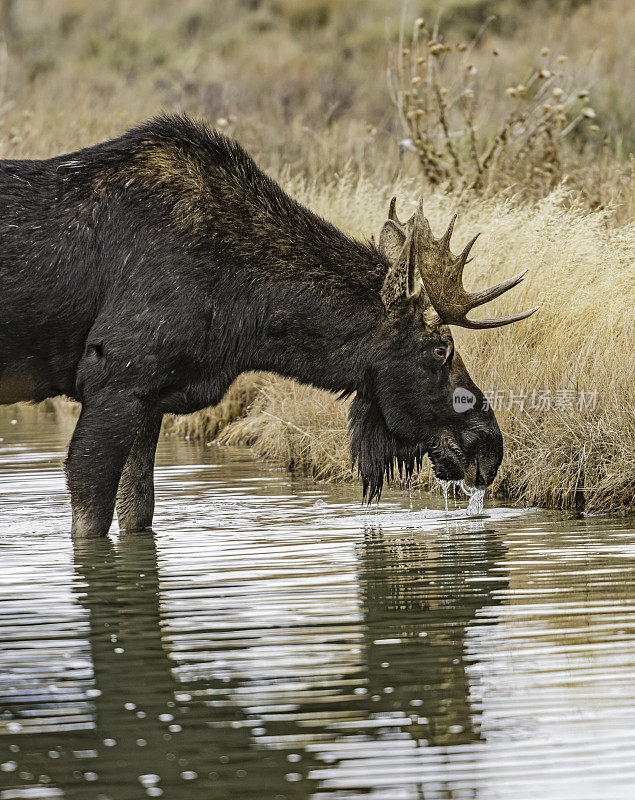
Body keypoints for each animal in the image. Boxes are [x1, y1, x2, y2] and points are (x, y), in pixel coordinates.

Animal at [0, 114, 536, 536]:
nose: (490, 447)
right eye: (439, 347)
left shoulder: (150, 398)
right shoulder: (113, 382)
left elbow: (139, 509)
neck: (241, 319)